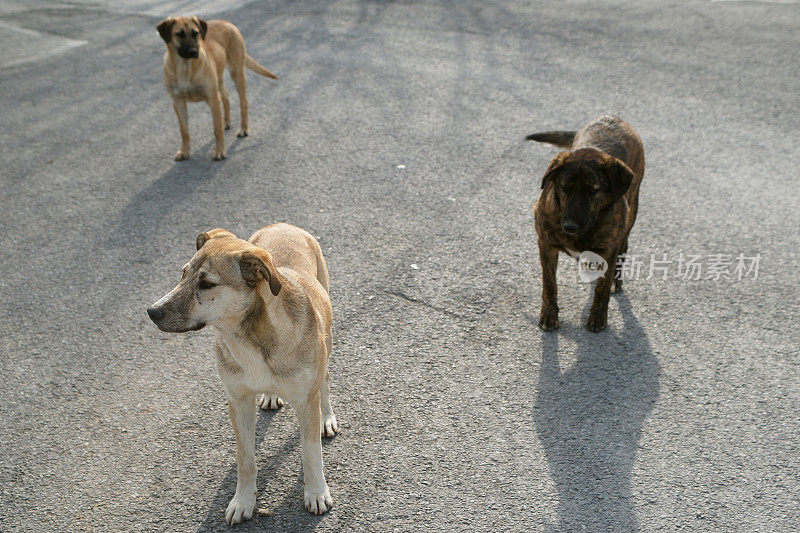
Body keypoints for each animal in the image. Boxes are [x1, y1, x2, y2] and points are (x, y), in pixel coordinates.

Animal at [148, 222, 340, 520]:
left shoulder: (306, 401)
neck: (248, 336)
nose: (152, 311)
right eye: (183, 274)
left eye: (206, 284)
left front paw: (317, 493)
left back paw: (326, 418)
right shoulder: (238, 401)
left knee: (326, 381)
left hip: (326, 341)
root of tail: (282, 224)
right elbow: (245, 458)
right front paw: (243, 501)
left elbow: (311, 454)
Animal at [156, 17, 278, 162]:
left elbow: (217, 130)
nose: (193, 52)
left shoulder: (213, 100)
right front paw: (184, 151)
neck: (184, 68)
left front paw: (219, 151)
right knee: (225, 95)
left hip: (237, 73)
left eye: (195, 33)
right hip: (219, 78)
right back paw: (227, 121)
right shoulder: (178, 103)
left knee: (243, 102)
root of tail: (226, 22)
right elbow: (184, 131)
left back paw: (243, 129)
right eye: (179, 34)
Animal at [532, 115, 644, 330]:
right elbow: (549, 283)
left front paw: (598, 317)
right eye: (564, 188)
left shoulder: (609, 249)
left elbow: (602, 288)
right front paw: (549, 315)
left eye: (593, 191)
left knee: (623, 248)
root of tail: (615, 118)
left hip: (632, 210)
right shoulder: (546, 244)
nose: (569, 227)